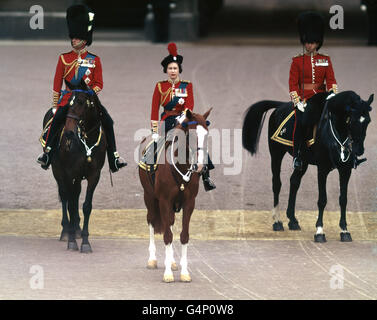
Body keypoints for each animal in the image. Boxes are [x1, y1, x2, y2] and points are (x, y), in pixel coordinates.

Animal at [43, 80, 106, 252]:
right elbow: (71, 204)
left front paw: (85, 241)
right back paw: (66, 230)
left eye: (82, 102)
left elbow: (86, 206)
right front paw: (71, 240)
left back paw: (76, 229)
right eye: (69, 104)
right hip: (58, 171)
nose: (69, 133)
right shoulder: (70, 173)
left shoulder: (94, 175)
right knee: (66, 197)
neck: (88, 140)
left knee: (75, 195)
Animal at [242, 91, 372, 241]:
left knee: (294, 182)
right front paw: (320, 231)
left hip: (302, 161)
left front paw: (344, 230)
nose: (358, 150)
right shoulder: (322, 169)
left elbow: (343, 199)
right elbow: (322, 199)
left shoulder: (345, 170)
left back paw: (292, 220)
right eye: (351, 120)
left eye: (368, 121)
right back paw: (277, 221)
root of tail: (281, 106)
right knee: (277, 183)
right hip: (276, 153)